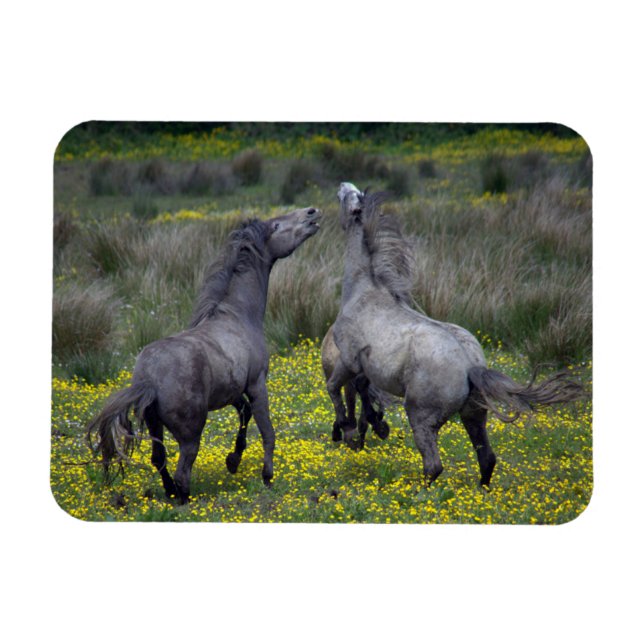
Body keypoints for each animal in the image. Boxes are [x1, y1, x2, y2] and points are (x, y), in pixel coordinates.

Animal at [87, 206, 322, 503]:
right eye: (277, 225)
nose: (312, 213)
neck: (238, 316)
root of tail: (149, 379)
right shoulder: (257, 384)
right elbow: (267, 431)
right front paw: (267, 476)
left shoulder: (232, 391)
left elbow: (244, 414)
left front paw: (232, 460)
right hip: (191, 432)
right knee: (182, 469)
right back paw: (183, 498)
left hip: (154, 425)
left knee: (159, 459)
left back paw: (171, 493)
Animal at [326, 183, 583, 487]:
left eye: (348, 197)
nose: (341, 185)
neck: (363, 292)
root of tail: (470, 367)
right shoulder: (366, 367)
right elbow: (363, 390)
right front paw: (375, 425)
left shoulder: (348, 359)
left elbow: (334, 389)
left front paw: (348, 430)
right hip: (474, 414)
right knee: (487, 458)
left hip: (421, 416)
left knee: (434, 465)